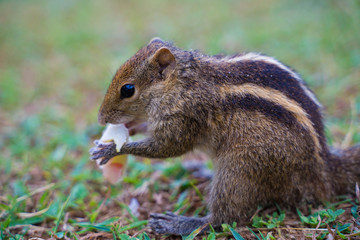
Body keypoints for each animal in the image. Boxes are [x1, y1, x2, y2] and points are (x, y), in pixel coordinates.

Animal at [90, 38, 360, 236]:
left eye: (128, 89)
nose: (101, 118)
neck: (183, 83)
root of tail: (321, 170)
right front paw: (130, 129)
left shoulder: (186, 117)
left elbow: (169, 148)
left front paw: (111, 149)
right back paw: (200, 171)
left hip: (240, 170)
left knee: (225, 218)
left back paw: (181, 224)